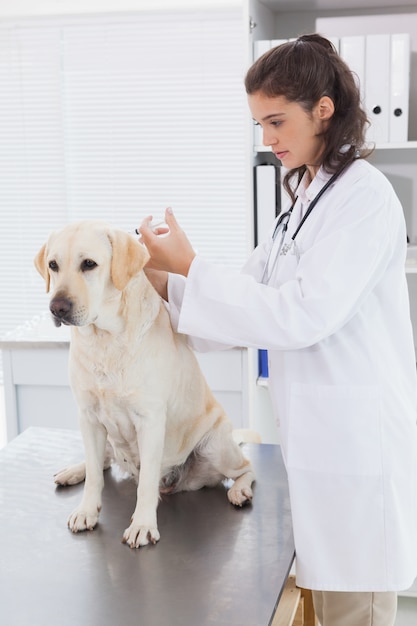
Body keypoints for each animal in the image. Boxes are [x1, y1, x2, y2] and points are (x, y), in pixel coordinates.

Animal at [34, 219, 255, 544]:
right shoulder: (88, 416)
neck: (105, 341)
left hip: (216, 447)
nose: (57, 307)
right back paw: (73, 471)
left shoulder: (149, 421)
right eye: (53, 265)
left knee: (246, 468)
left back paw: (240, 490)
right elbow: (96, 478)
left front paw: (142, 524)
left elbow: (147, 483)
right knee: (100, 462)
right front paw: (87, 510)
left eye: (89, 264)